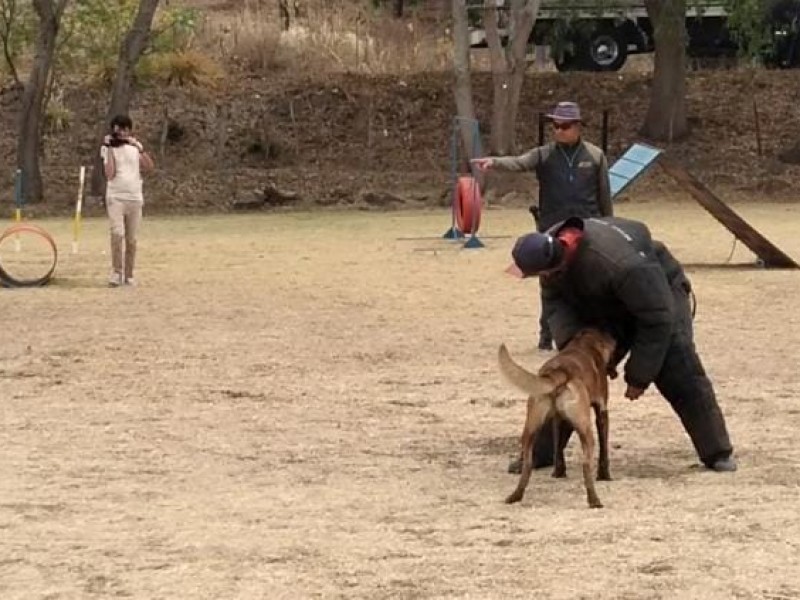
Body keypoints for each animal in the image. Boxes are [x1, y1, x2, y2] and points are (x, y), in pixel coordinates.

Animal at [500, 330, 620, 508]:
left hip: (530, 429)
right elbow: (603, 450)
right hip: (585, 430)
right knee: (586, 464)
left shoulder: (558, 420)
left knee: (528, 464)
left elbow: (558, 446)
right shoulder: (602, 412)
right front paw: (604, 476)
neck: (585, 343)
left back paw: (515, 496)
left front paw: (558, 472)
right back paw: (594, 500)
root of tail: (560, 372)